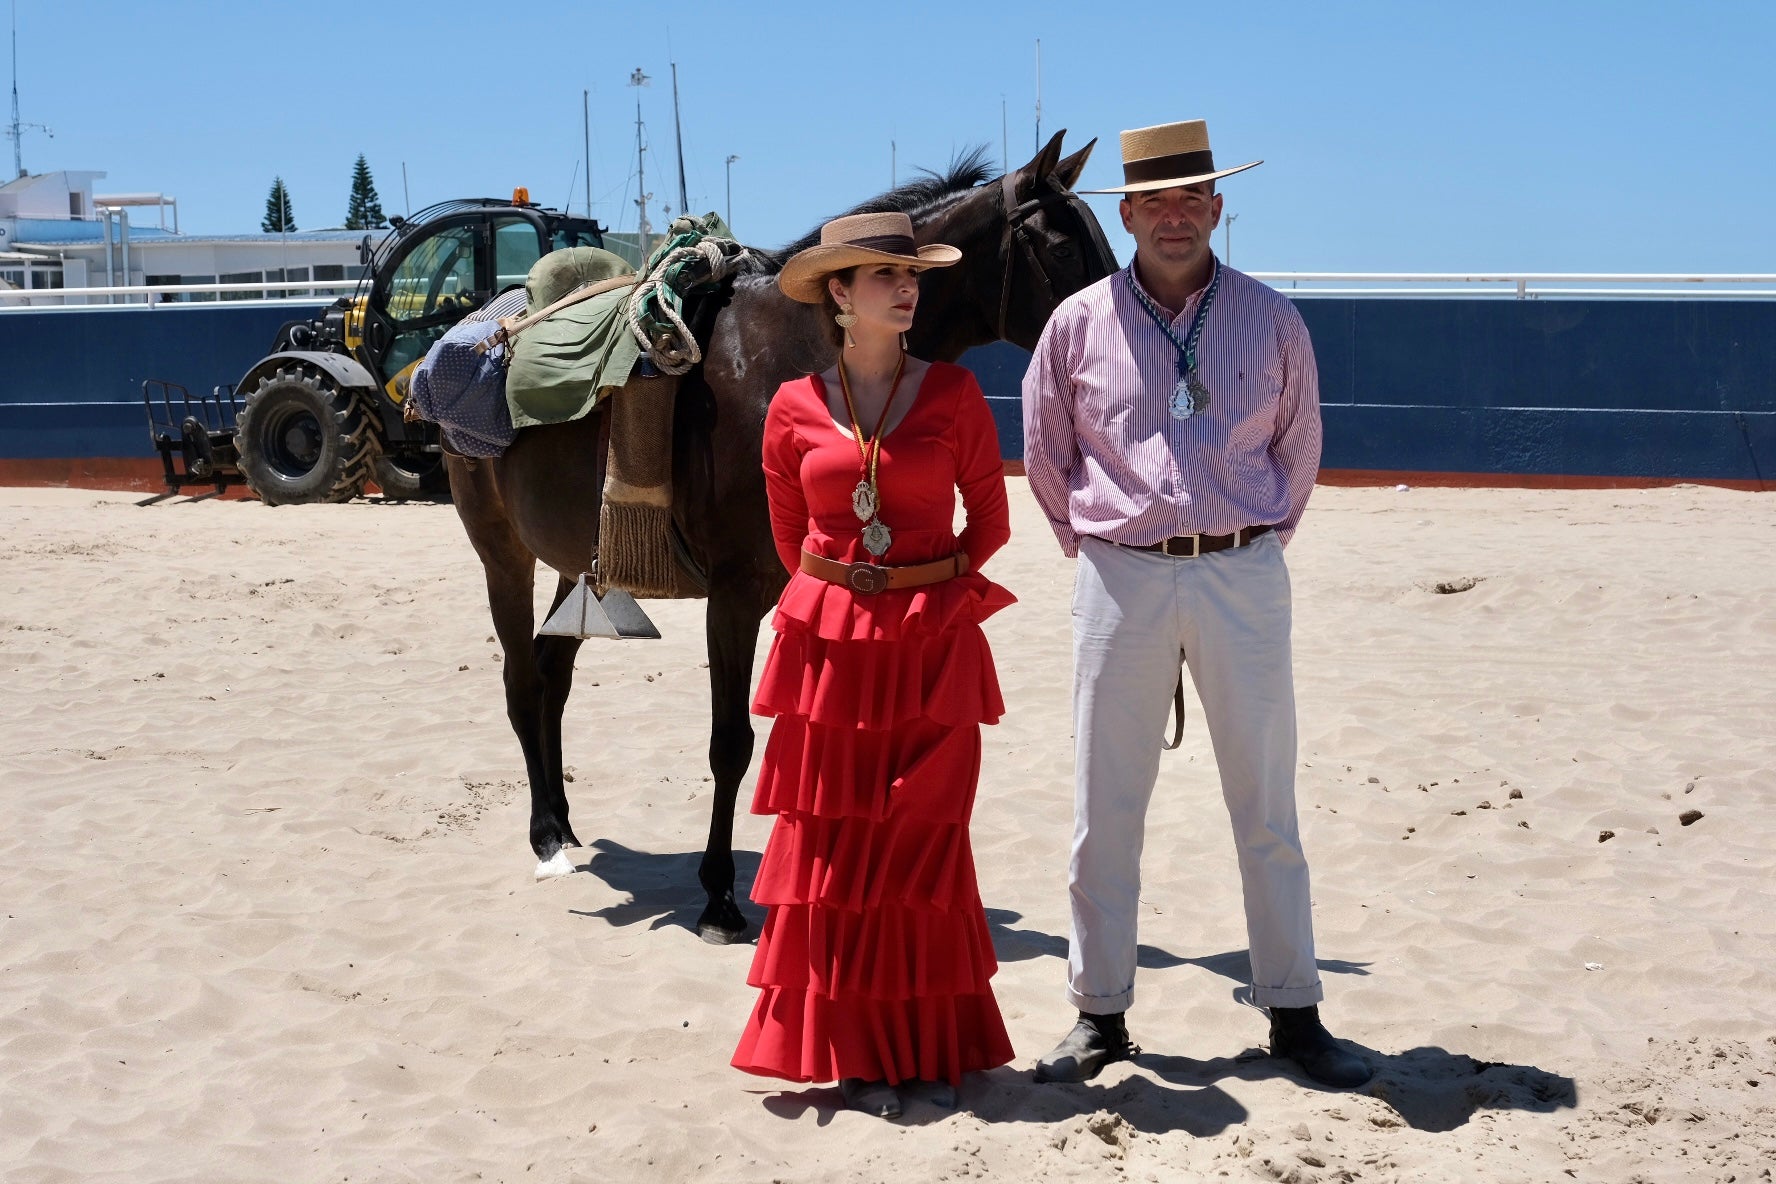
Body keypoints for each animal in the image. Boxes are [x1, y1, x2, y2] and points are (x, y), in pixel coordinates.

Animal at [447, 129, 1108, 944]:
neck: (799, 356)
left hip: (577, 562)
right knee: (521, 680)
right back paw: (544, 834)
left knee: (551, 674)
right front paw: (720, 898)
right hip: (502, 553)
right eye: (1060, 245)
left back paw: (566, 824)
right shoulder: (733, 595)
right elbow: (732, 743)